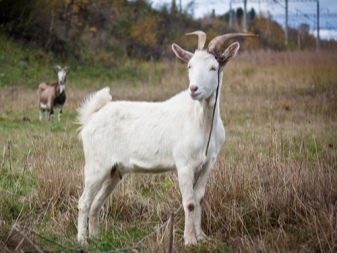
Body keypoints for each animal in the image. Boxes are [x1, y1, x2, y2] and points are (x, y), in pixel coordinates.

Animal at [76, 31, 255, 245]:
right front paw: (190, 240)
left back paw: (96, 237)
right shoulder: (184, 164)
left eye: (213, 67)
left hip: (114, 170)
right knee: (84, 201)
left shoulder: (207, 163)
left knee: (96, 202)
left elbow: (199, 198)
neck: (201, 121)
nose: (194, 89)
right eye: (189, 66)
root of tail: (92, 117)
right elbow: (189, 202)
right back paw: (82, 240)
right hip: (97, 165)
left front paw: (202, 236)